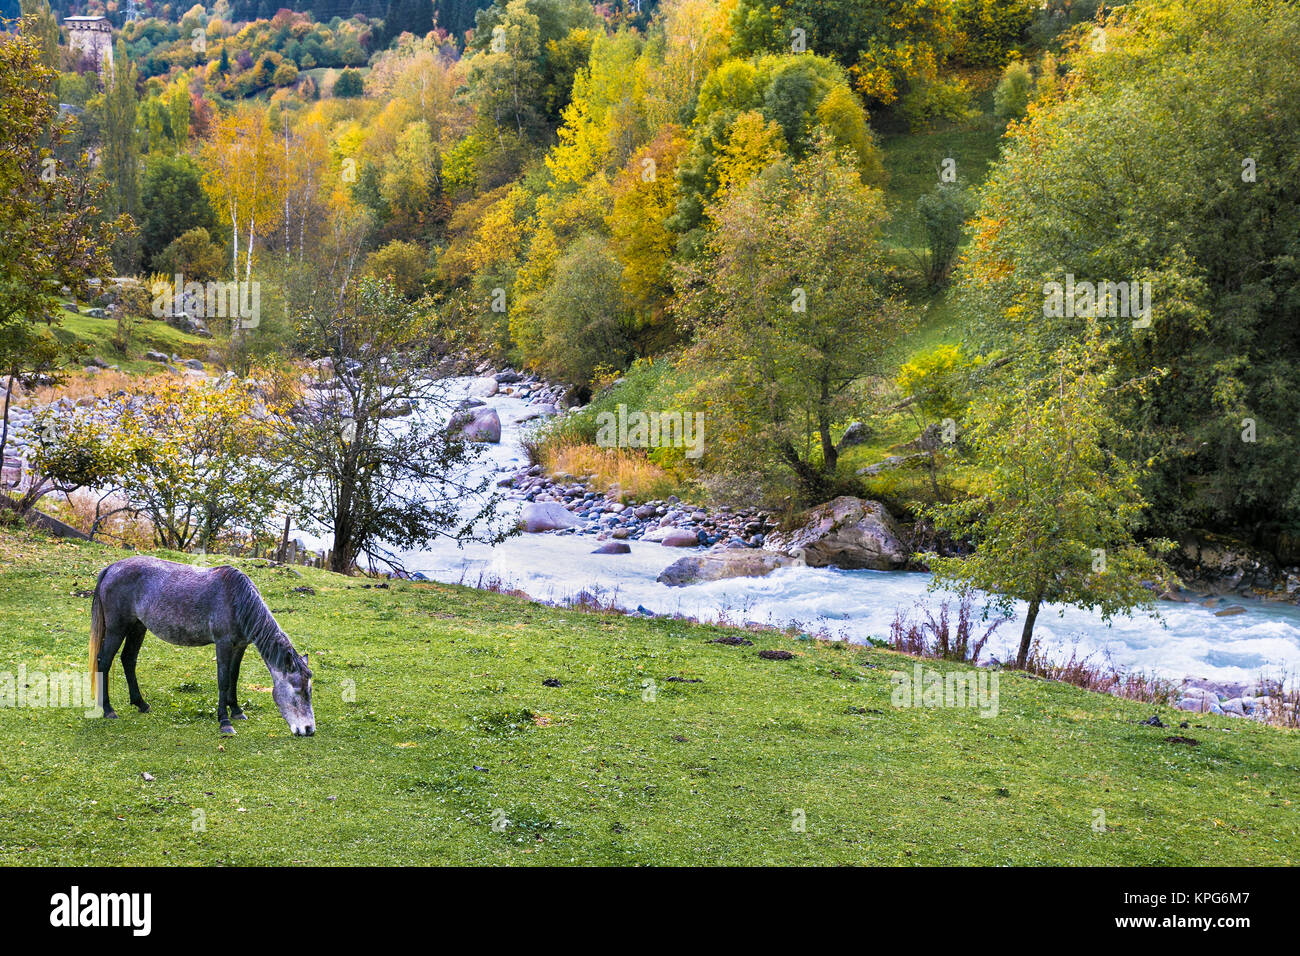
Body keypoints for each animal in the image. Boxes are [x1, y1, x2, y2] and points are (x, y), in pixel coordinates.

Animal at [89, 556, 317, 738]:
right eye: (297, 690)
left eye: (310, 690)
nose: (308, 730)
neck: (237, 600)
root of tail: (111, 568)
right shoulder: (223, 644)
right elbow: (223, 681)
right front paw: (224, 722)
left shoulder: (240, 646)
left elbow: (234, 677)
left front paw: (236, 710)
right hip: (117, 628)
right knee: (104, 661)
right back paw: (108, 709)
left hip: (138, 627)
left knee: (128, 659)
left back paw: (141, 704)